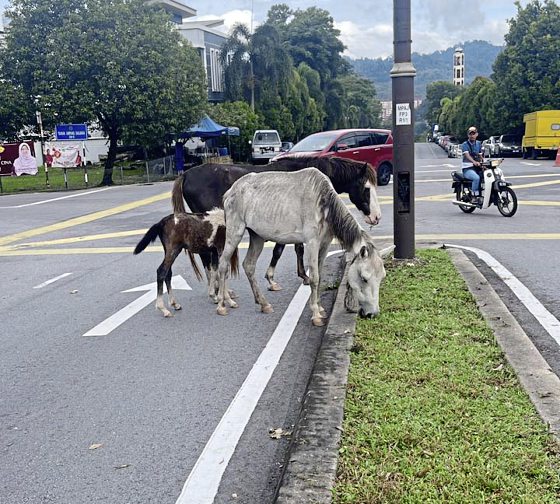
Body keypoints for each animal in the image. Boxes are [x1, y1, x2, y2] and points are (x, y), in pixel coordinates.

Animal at [171, 158, 380, 292]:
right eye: (366, 188)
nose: (376, 217)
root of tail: (187, 174)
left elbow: (292, 249)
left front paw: (294, 276)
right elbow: (283, 250)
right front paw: (275, 279)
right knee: (208, 255)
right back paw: (216, 289)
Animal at [217, 168, 388, 326]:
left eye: (382, 277)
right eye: (364, 278)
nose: (372, 314)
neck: (324, 204)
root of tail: (230, 191)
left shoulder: (324, 245)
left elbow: (319, 274)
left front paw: (319, 307)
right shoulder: (312, 243)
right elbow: (314, 278)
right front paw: (316, 314)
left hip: (257, 237)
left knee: (249, 266)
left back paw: (263, 304)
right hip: (235, 233)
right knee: (223, 264)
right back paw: (223, 303)